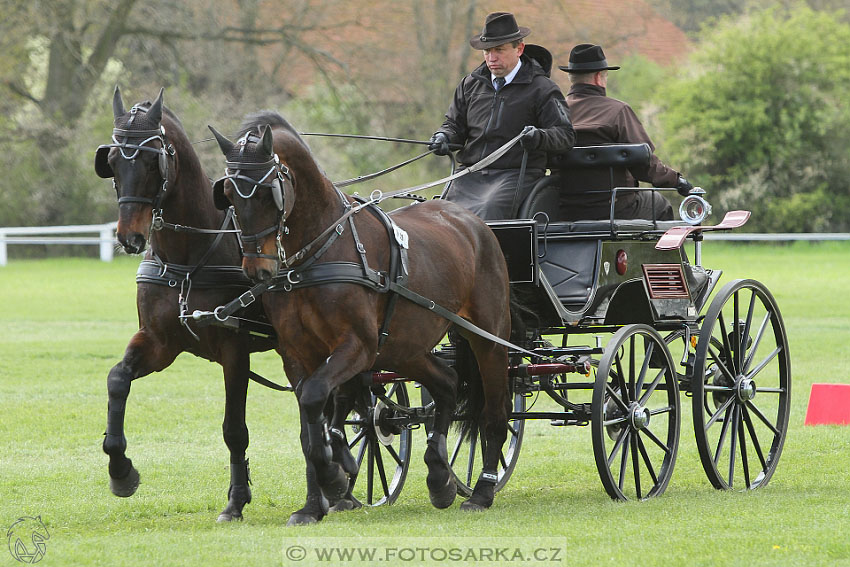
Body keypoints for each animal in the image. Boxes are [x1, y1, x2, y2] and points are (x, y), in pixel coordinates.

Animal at [96, 89, 276, 524]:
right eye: (112, 161)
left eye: (152, 160)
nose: (129, 237)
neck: (190, 257)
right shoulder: (160, 344)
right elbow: (117, 380)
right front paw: (121, 471)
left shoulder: (235, 350)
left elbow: (234, 429)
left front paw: (236, 500)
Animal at [210, 113, 510, 524]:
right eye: (228, 193)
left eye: (269, 192)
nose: (258, 269)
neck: (319, 251)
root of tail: (472, 222)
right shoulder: (297, 353)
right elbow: (311, 420)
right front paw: (321, 495)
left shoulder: (358, 346)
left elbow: (317, 398)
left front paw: (335, 477)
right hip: (404, 347)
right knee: (447, 384)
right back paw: (439, 477)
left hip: (487, 338)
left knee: (494, 413)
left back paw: (481, 491)